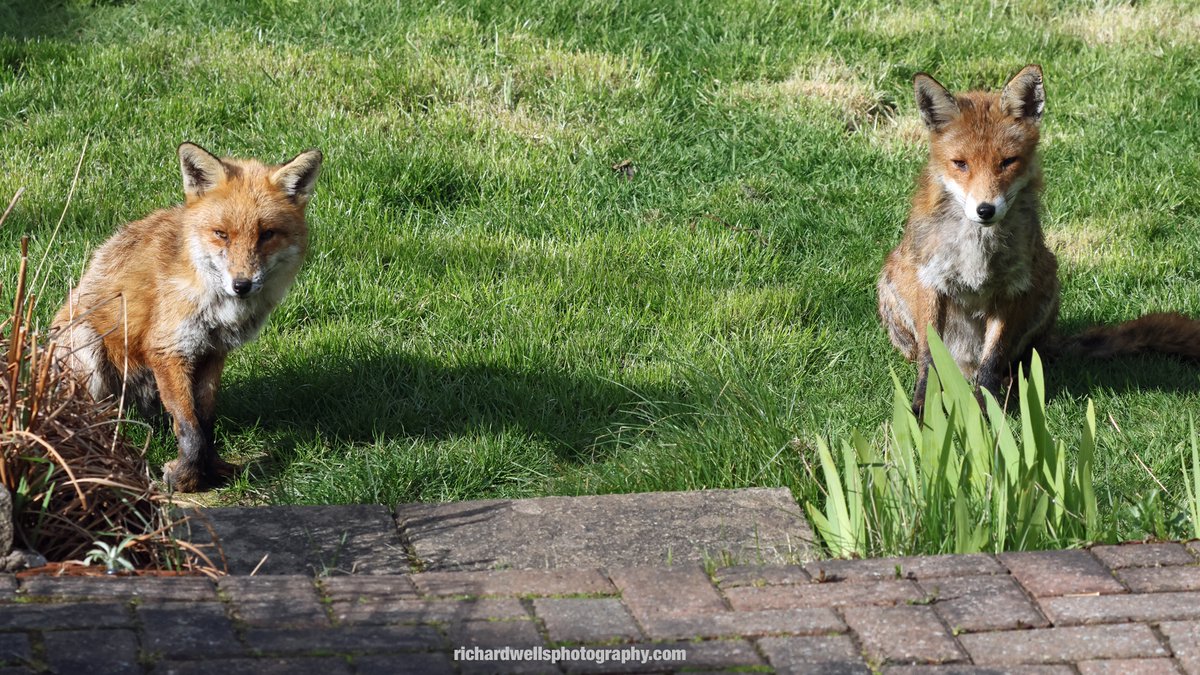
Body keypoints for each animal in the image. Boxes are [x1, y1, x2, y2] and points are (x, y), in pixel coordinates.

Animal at [55, 142, 324, 487]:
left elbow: (205, 422)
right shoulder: (168, 349)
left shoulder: (213, 351)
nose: (242, 284)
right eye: (221, 234)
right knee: (92, 418)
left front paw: (213, 470)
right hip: (86, 346)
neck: (216, 307)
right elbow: (189, 428)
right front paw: (185, 478)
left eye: (267, 234)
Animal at [878, 65, 1200, 413]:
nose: (985, 209)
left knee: (1011, 362)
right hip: (891, 282)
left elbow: (992, 360)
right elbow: (929, 358)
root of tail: (964, 367)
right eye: (960, 164)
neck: (977, 247)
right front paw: (923, 408)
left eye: (1007, 162)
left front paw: (988, 409)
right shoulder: (931, 280)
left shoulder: (1012, 287)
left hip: (1046, 280)